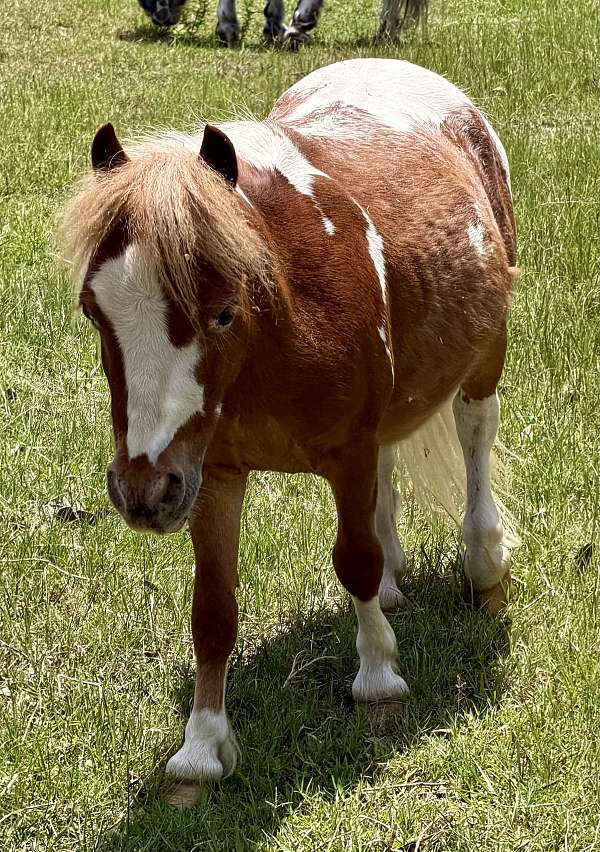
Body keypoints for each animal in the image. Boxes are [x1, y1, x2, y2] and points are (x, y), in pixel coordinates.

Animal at [60, 58, 518, 791]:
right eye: (92, 311)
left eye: (222, 311)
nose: (142, 492)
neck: (276, 330)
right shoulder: (211, 474)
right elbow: (212, 612)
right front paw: (201, 746)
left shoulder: (347, 450)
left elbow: (354, 561)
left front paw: (378, 680)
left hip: (484, 358)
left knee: (475, 438)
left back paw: (484, 566)